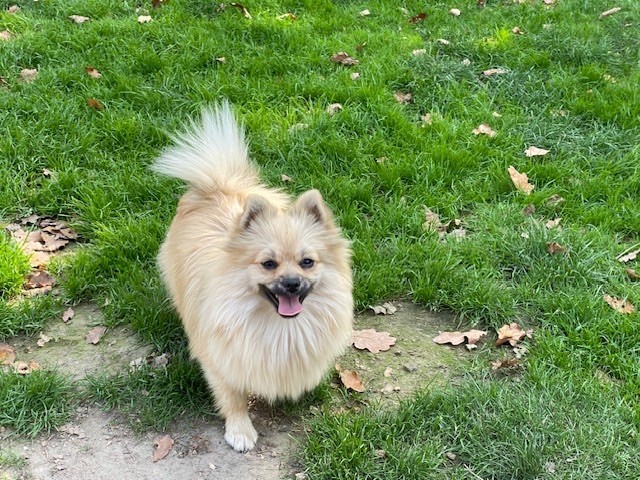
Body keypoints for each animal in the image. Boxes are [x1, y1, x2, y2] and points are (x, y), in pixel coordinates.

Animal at [152, 102, 354, 452]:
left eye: (307, 262)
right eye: (269, 264)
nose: (291, 283)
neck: (280, 328)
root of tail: (218, 187)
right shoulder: (219, 357)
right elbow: (231, 395)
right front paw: (240, 429)